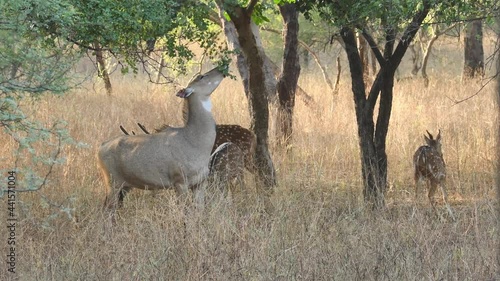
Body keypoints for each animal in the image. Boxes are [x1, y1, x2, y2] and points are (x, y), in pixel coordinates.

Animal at [98, 66, 227, 215]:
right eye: (201, 77)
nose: (221, 68)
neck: (195, 140)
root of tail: (100, 147)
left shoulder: (200, 184)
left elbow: (199, 211)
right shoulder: (180, 182)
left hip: (124, 186)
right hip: (112, 183)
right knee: (107, 209)